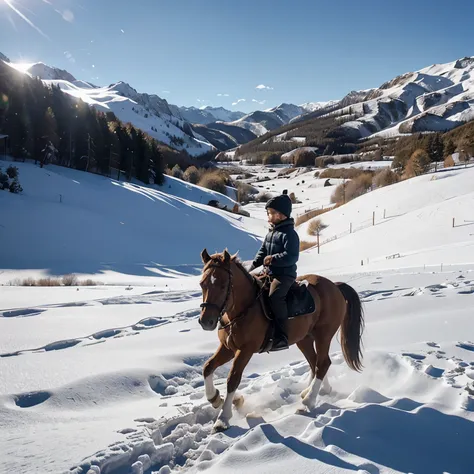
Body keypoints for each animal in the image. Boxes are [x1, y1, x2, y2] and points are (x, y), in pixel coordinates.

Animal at [198, 250, 364, 432]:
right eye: (202, 284)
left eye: (223, 285)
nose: (206, 321)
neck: (243, 310)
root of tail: (335, 286)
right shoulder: (227, 348)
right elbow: (207, 368)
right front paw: (216, 399)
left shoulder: (246, 350)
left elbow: (232, 379)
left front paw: (223, 418)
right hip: (304, 339)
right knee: (315, 362)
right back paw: (313, 391)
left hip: (323, 335)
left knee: (323, 363)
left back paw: (308, 402)